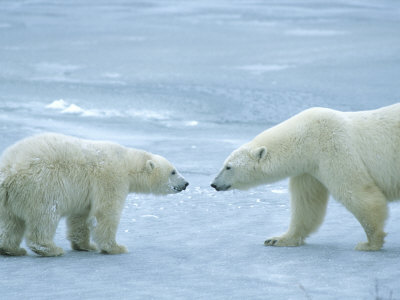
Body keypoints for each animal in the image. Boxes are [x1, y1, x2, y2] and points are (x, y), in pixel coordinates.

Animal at [0, 132, 189, 256]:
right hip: (41, 187)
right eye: (173, 171)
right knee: (45, 217)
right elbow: (106, 213)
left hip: (9, 199)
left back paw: (12, 249)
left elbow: (80, 217)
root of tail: (8, 171)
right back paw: (50, 249)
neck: (126, 163)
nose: (186, 183)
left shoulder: (86, 194)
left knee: (10, 223)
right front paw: (116, 248)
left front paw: (85, 245)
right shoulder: (111, 178)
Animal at [209, 104, 400, 250]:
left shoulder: (334, 148)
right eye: (224, 164)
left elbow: (356, 192)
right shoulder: (308, 169)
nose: (214, 184)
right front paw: (278, 239)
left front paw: (370, 243)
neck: (306, 137)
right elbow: (307, 204)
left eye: (228, 167)